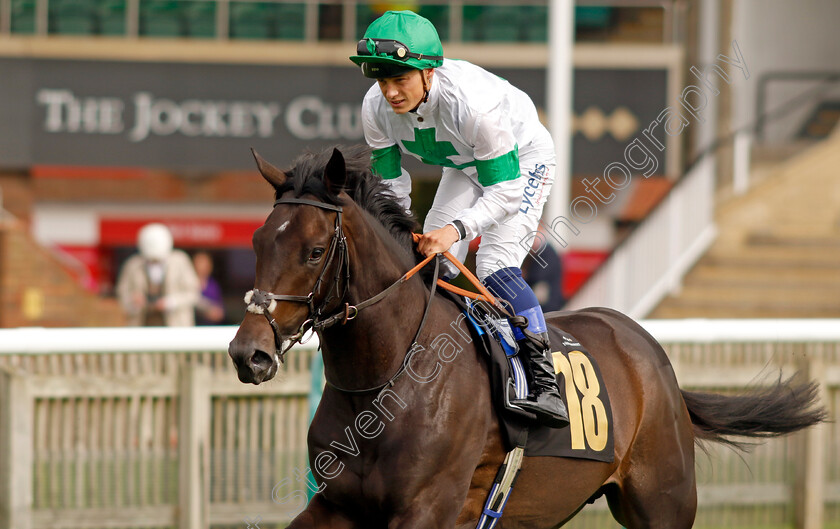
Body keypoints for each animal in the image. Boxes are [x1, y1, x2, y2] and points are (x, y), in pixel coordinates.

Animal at [230, 145, 828, 528]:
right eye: (257, 242)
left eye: (313, 251)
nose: (247, 353)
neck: (386, 379)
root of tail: (647, 348)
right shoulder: (335, 505)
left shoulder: (425, 507)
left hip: (665, 498)